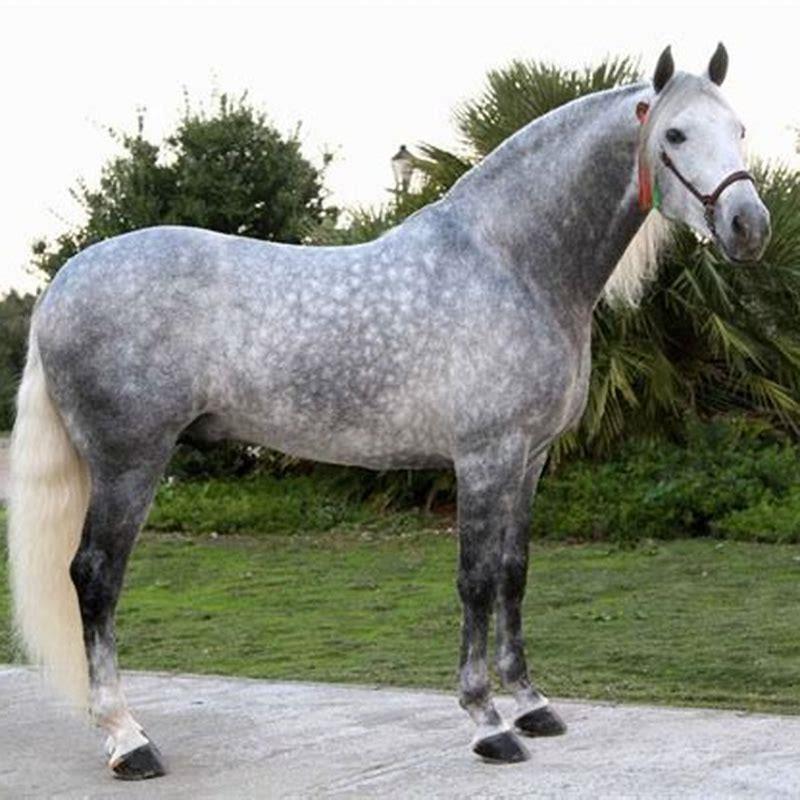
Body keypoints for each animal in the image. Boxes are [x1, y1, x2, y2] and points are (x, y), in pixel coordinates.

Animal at [7, 43, 770, 779]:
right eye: (674, 133)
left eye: (738, 128)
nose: (749, 226)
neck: (513, 264)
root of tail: (61, 285)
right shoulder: (484, 457)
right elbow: (475, 581)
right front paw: (488, 723)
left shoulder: (530, 458)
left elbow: (515, 573)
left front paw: (532, 705)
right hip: (129, 461)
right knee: (96, 577)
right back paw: (128, 741)